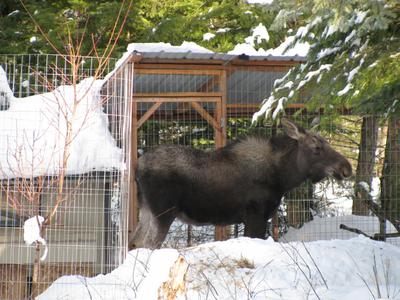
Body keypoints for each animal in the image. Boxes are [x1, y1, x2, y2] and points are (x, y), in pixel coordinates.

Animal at [130, 118, 352, 250]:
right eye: (316, 147)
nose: (346, 168)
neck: (282, 177)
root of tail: (138, 166)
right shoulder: (256, 215)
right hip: (163, 213)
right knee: (146, 244)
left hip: (147, 211)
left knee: (134, 242)